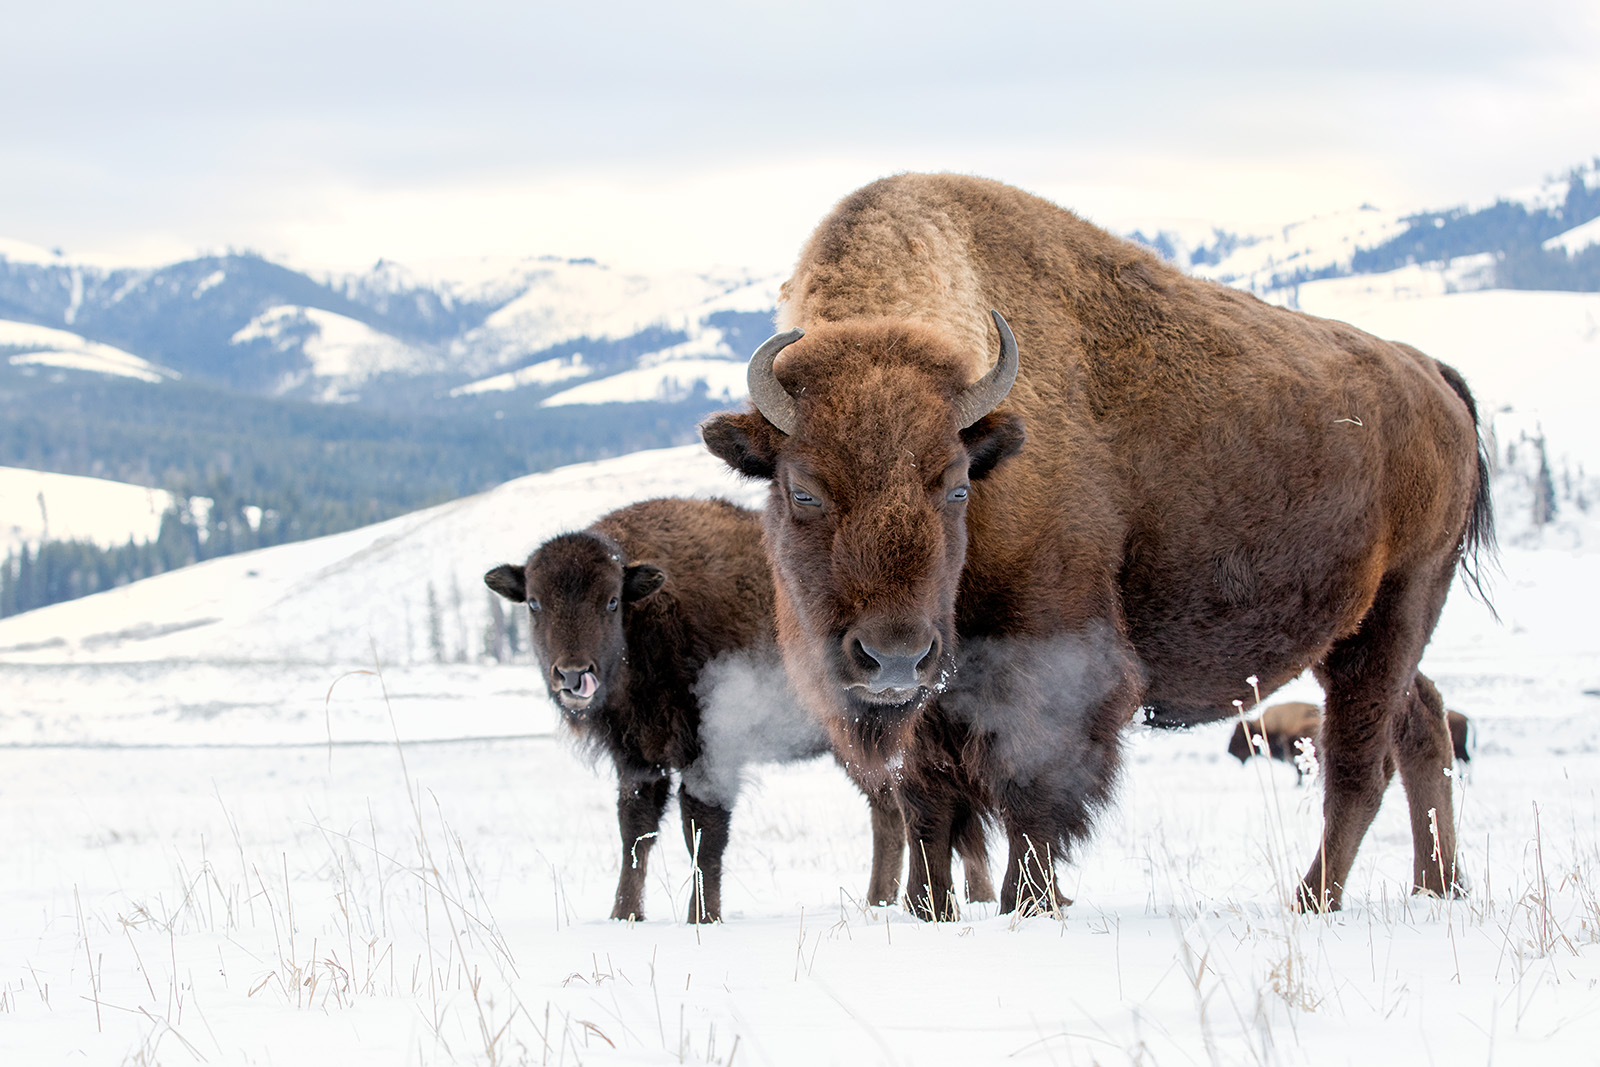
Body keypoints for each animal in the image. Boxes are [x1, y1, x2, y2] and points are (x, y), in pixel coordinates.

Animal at [484, 496, 992, 922]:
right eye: (534, 603)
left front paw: (702, 919)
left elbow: (703, 835)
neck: (650, 612)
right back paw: (883, 901)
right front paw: (624, 916)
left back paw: (967, 898)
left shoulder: (710, 754)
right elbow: (636, 834)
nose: (573, 675)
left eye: (610, 601)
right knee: (892, 811)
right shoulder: (639, 761)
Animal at [701, 173, 1493, 918]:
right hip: (1357, 633)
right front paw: (930, 910)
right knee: (1420, 726)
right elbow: (929, 807)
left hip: (1398, 607)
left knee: (1359, 765)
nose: (891, 658)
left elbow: (1031, 792)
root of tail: (1435, 377)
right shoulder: (932, 701)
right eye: (802, 489)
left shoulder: (1051, 661)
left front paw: (1030, 903)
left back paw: (1313, 901)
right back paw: (1438, 887)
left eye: (955, 485)